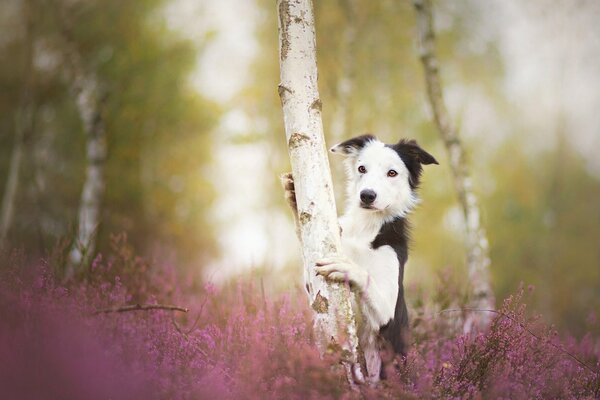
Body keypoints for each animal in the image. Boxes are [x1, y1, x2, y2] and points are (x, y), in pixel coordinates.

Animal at [282, 134, 436, 382]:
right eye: (362, 168)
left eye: (392, 173)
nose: (367, 195)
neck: (365, 227)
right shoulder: (313, 281)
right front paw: (295, 198)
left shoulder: (388, 314)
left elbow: (366, 278)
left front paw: (346, 267)